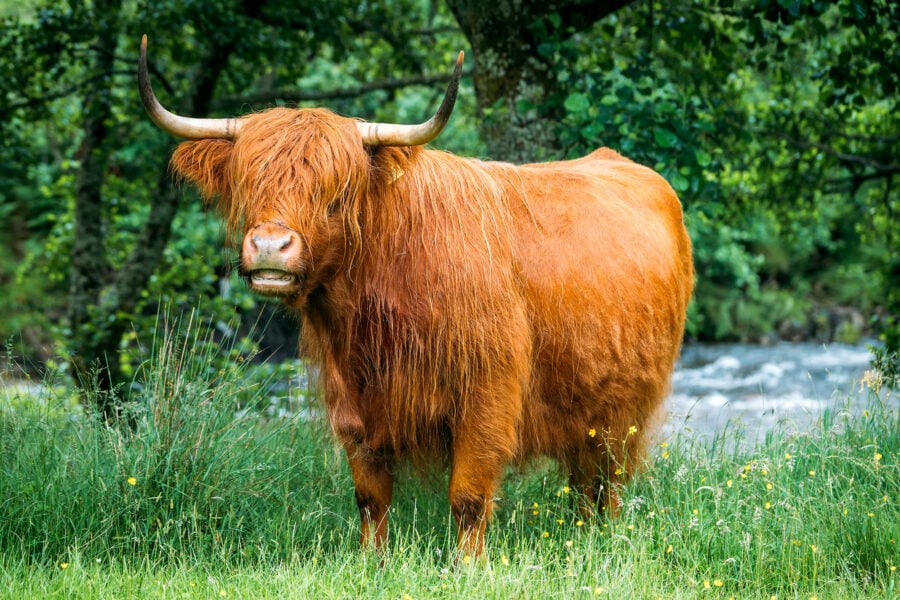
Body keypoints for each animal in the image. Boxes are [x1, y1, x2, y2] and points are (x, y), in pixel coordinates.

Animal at [138, 35, 693, 557]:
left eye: (336, 193)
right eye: (249, 184)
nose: (271, 246)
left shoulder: (487, 395)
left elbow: (468, 497)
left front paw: (468, 567)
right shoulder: (353, 403)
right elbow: (369, 496)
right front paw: (372, 561)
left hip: (624, 413)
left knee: (607, 482)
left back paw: (605, 540)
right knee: (584, 483)